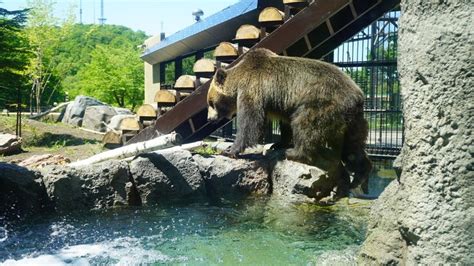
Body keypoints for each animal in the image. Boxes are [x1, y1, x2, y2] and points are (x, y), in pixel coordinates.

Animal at [207, 48, 370, 189]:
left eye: (210, 102)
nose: (209, 119)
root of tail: (358, 96)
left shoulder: (253, 87)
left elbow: (250, 122)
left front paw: (230, 150)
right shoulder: (282, 103)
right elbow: (285, 123)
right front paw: (278, 144)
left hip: (321, 102)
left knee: (304, 124)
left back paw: (294, 153)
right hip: (354, 120)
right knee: (353, 146)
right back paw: (360, 175)